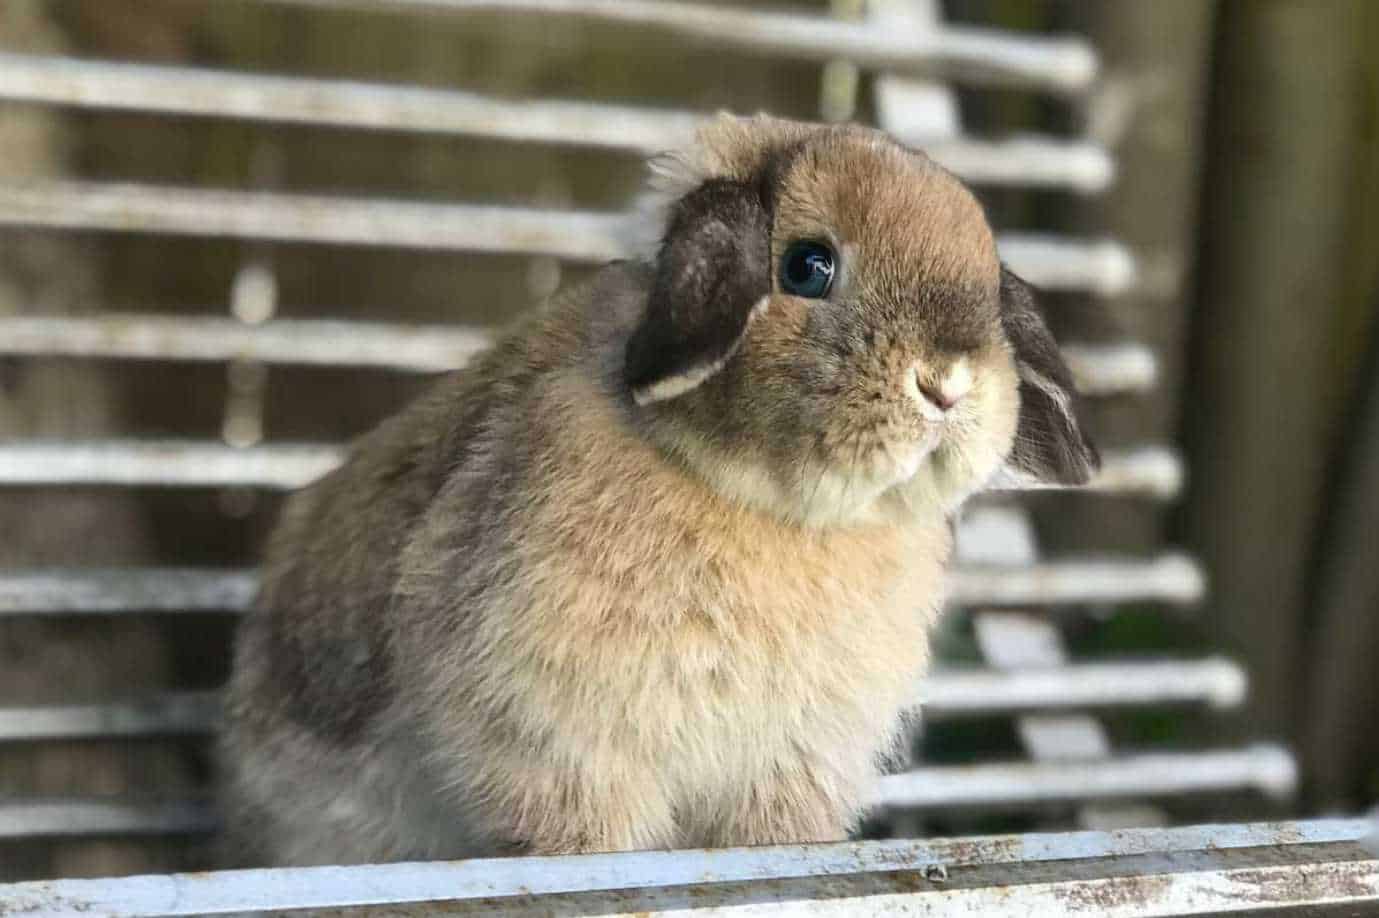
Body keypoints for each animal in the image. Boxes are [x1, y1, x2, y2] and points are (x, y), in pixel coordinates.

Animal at [217, 114, 1097, 865]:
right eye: (807, 266)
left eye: (985, 289)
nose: (946, 382)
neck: (779, 511)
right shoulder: (559, 741)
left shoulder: (791, 765)